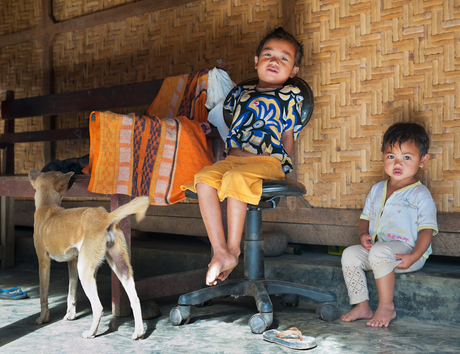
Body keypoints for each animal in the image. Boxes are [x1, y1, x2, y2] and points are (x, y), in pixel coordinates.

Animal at [27, 169, 149, 340]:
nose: (74, 175)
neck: (47, 206)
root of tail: (104, 217)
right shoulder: (72, 263)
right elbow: (71, 293)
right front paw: (70, 315)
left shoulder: (43, 261)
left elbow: (43, 295)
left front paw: (42, 318)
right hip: (120, 267)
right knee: (135, 300)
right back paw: (138, 332)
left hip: (85, 271)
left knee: (98, 307)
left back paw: (91, 333)